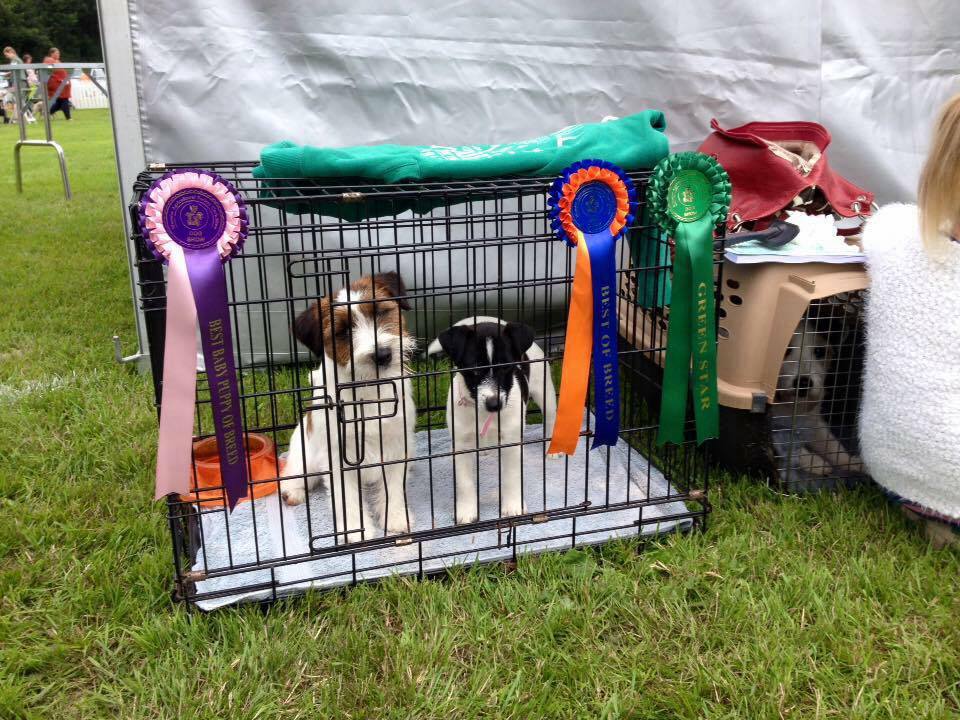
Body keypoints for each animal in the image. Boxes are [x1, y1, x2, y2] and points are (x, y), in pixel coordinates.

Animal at [276, 272, 414, 544]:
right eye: (344, 331)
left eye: (381, 312)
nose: (382, 354)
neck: (368, 389)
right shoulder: (337, 456)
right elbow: (346, 498)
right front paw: (355, 531)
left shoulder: (396, 444)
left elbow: (393, 487)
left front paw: (396, 519)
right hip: (304, 454)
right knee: (294, 471)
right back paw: (292, 492)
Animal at [426, 316, 556, 524]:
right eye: (474, 370)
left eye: (506, 367)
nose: (494, 404)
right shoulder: (461, 444)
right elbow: (464, 482)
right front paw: (466, 511)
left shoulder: (511, 443)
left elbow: (512, 477)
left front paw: (513, 506)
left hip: (544, 389)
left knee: (551, 416)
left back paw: (552, 448)